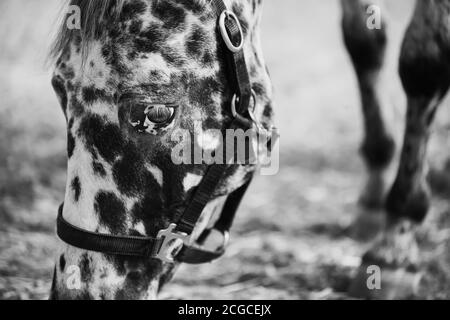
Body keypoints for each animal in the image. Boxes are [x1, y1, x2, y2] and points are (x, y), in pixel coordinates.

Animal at [47, 0, 448, 300]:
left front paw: (396, 247)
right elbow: (364, 40)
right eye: (59, 91)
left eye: (156, 113)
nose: (76, 289)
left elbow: (423, 62)